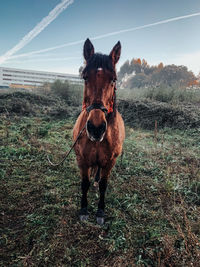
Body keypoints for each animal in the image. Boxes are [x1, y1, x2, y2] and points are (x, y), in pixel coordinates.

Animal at [72, 38, 124, 226]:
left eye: (114, 80)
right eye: (85, 77)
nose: (96, 128)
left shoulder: (109, 162)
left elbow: (103, 185)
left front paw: (100, 212)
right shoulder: (82, 160)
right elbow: (84, 184)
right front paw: (84, 210)